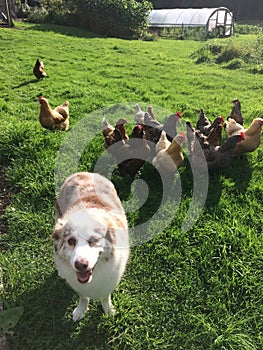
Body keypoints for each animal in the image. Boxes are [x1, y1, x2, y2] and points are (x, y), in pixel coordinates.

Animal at [51, 171, 130, 322]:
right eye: (71, 241)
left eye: (94, 240)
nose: (81, 265)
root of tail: (82, 173)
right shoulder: (79, 285)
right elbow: (83, 298)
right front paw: (80, 310)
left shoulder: (109, 280)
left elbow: (105, 297)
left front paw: (108, 310)